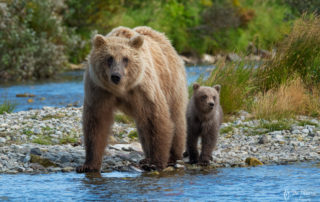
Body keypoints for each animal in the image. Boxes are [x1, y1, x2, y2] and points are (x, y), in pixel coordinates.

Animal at [76, 26, 189, 173]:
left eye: (126, 59)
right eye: (109, 58)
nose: (116, 76)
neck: (121, 89)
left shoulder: (144, 89)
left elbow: (156, 119)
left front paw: (155, 163)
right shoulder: (99, 90)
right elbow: (96, 122)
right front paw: (88, 165)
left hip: (172, 82)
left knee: (176, 117)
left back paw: (173, 156)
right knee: (142, 127)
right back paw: (146, 158)